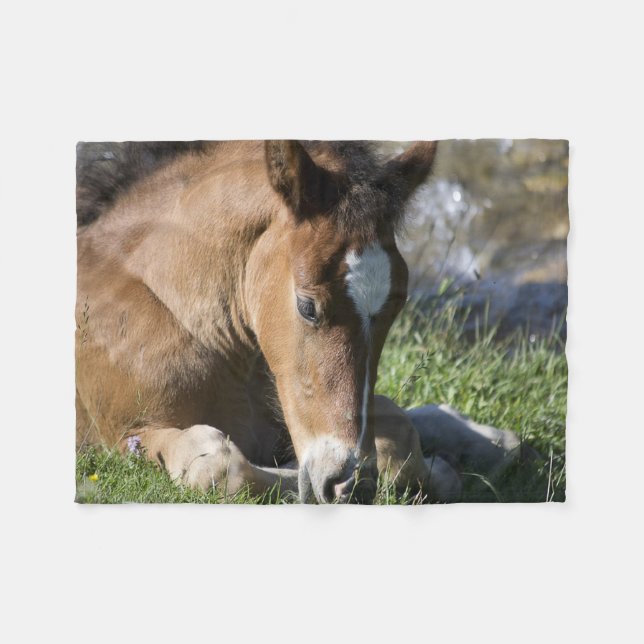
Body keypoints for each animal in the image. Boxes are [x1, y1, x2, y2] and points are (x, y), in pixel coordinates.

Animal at [76, 140, 523, 503]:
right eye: (307, 307)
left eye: (397, 307)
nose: (349, 485)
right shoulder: (125, 435)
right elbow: (221, 468)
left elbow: (395, 432)